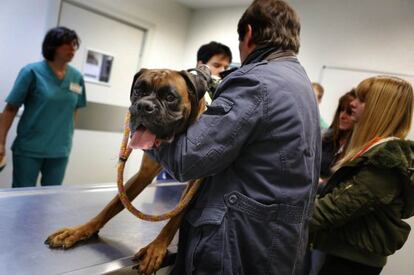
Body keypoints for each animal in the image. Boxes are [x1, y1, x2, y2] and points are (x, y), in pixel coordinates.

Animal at [46, 67, 210, 275]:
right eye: (139, 90)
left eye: (170, 97)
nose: (144, 106)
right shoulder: (142, 175)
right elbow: (113, 205)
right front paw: (79, 231)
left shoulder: (194, 186)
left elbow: (175, 217)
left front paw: (156, 247)